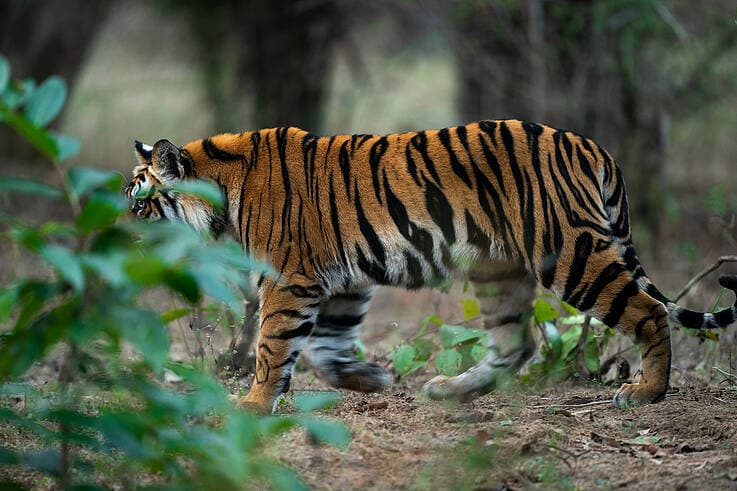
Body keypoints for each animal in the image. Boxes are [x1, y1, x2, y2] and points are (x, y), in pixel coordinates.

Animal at [124, 121, 737, 414]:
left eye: (138, 204)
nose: (117, 240)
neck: (221, 192)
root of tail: (594, 147)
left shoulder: (288, 280)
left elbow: (272, 348)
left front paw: (251, 405)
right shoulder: (341, 282)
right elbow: (324, 349)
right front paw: (370, 380)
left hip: (570, 252)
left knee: (648, 311)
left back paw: (645, 392)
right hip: (498, 271)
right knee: (517, 343)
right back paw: (451, 390)